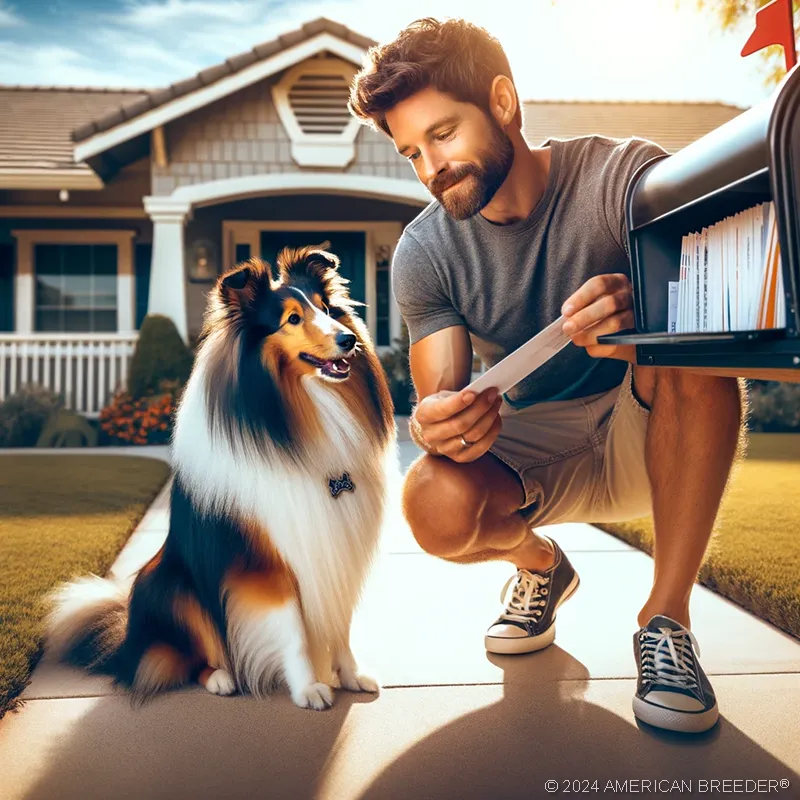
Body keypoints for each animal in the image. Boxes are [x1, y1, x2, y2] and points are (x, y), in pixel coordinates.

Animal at [43, 247, 396, 708]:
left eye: (326, 308)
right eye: (292, 318)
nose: (347, 339)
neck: (301, 416)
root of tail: (129, 642)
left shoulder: (337, 552)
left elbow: (338, 623)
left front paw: (351, 674)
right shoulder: (267, 564)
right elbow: (293, 631)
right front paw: (307, 688)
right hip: (172, 584)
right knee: (191, 657)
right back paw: (221, 677)